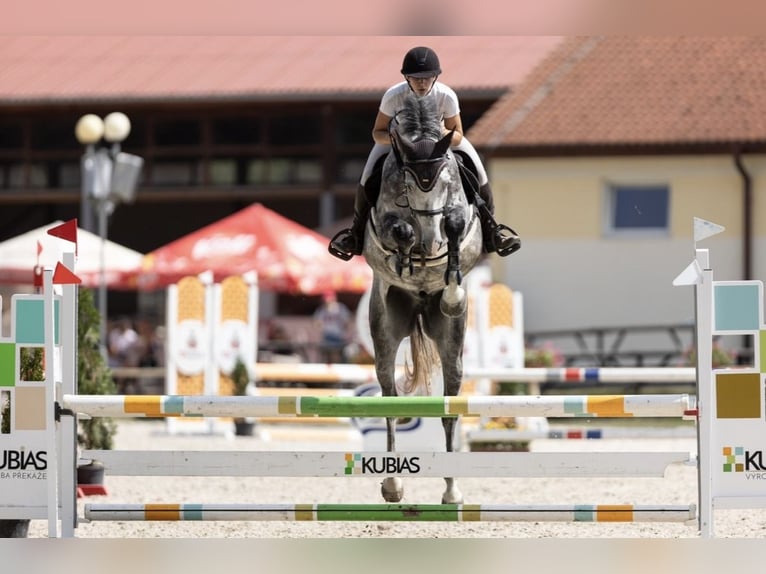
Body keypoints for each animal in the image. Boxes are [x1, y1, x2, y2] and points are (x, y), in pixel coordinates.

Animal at [364, 93, 484, 504]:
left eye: (446, 181)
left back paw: (452, 490)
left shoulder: (459, 219)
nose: (431, 243)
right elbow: (398, 229)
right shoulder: (386, 222)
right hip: (385, 331)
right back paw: (392, 484)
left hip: (452, 345)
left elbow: (455, 225)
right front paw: (406, 253)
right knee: (388, 400)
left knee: (449, 410)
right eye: (408, 184)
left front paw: (453, 292)